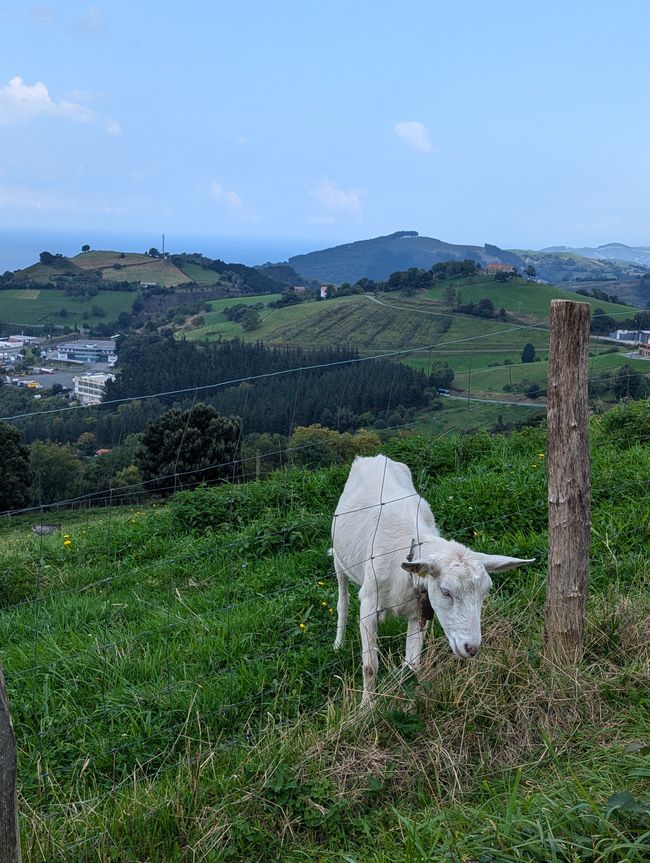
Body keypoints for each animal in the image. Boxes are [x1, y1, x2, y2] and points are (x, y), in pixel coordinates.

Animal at [330, 456, 532, 704]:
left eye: (485, 593)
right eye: (446, 591)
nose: (471, 648)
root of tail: (375, 457)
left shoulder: (419, 611)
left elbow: (412, 665)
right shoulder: (369, 603)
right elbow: (370, 666)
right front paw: (366, 707)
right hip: (339, 561)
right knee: (342, 601)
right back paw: (338, 644)